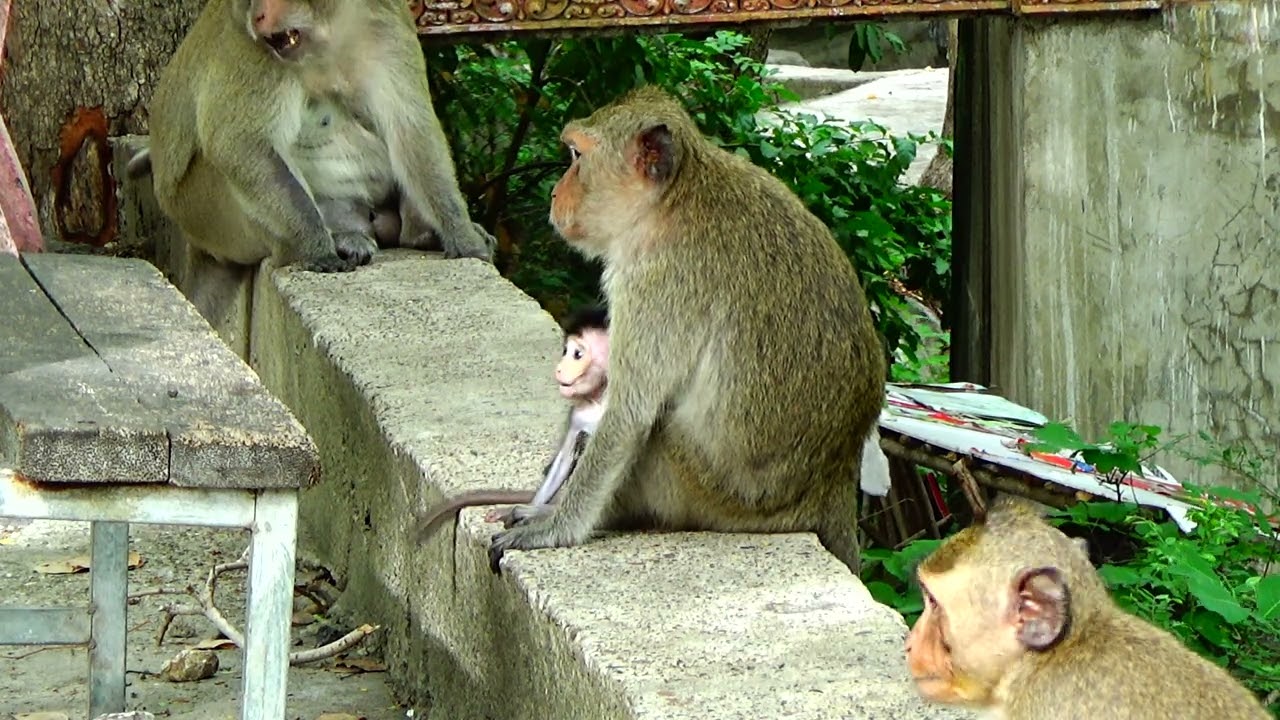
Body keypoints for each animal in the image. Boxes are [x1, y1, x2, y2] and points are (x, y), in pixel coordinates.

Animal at [138, 0, 495, 273]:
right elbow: (239, 143)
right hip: (206, 216)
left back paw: (419, 236)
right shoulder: (249, 50)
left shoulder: (389, 26)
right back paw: (323, 243)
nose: (257, 17)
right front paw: (317, 248)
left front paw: (463, 237)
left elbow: (411, 129)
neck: (327, 33)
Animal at [414, 305, 611, 540]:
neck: (599, 399)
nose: (559, 368)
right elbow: (564, 459)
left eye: (577, 354)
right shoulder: (579, 412)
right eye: (566, 351)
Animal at [486, 85, 886, 575]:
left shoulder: (655, 282)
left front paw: (553, 528)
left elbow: (629, 415)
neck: (675, 201)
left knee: (656, 436)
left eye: (578, 155)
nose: (555, 192)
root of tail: (833, 480)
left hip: (709, 495)